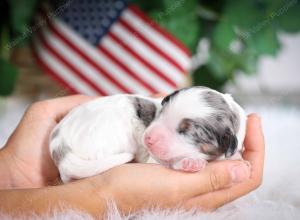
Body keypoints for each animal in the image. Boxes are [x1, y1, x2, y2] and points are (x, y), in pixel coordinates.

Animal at [49, 87, 246, 183]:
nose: (147, 138)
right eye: (162, 112)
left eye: (188, 132)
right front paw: (190, 162)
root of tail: (59, 146)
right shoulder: (152, 159)